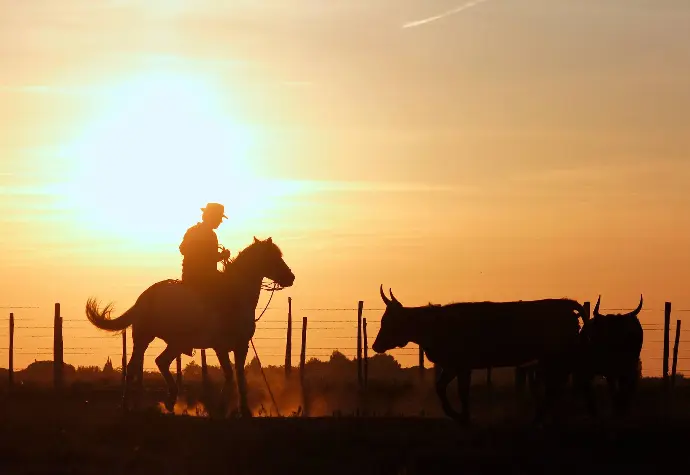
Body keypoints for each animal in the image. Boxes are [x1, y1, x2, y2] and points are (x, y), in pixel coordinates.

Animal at [84, 238, 292, 416]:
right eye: (273, 257)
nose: (291, 277)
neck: (235, 295)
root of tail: (143, 298)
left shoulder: (241, 345)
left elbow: (239, 377)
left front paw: (242, 410)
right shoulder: (221, 346)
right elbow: (230, 375)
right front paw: (223, 408)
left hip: (174, 342)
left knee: (160, 362)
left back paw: (166, 401)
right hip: (145, 337)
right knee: (135, 367)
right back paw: (127, 405)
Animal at [370, 284, 584, 426]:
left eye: (387, 321)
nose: (375, 345)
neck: (435, 325)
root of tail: (565, 305)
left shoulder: (462, 366)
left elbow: (462, 391)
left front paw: (463, 416)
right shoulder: (452, 366)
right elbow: (440, 387)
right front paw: (455, 414)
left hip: (556, 358)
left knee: (556, 387)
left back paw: (541, 418)